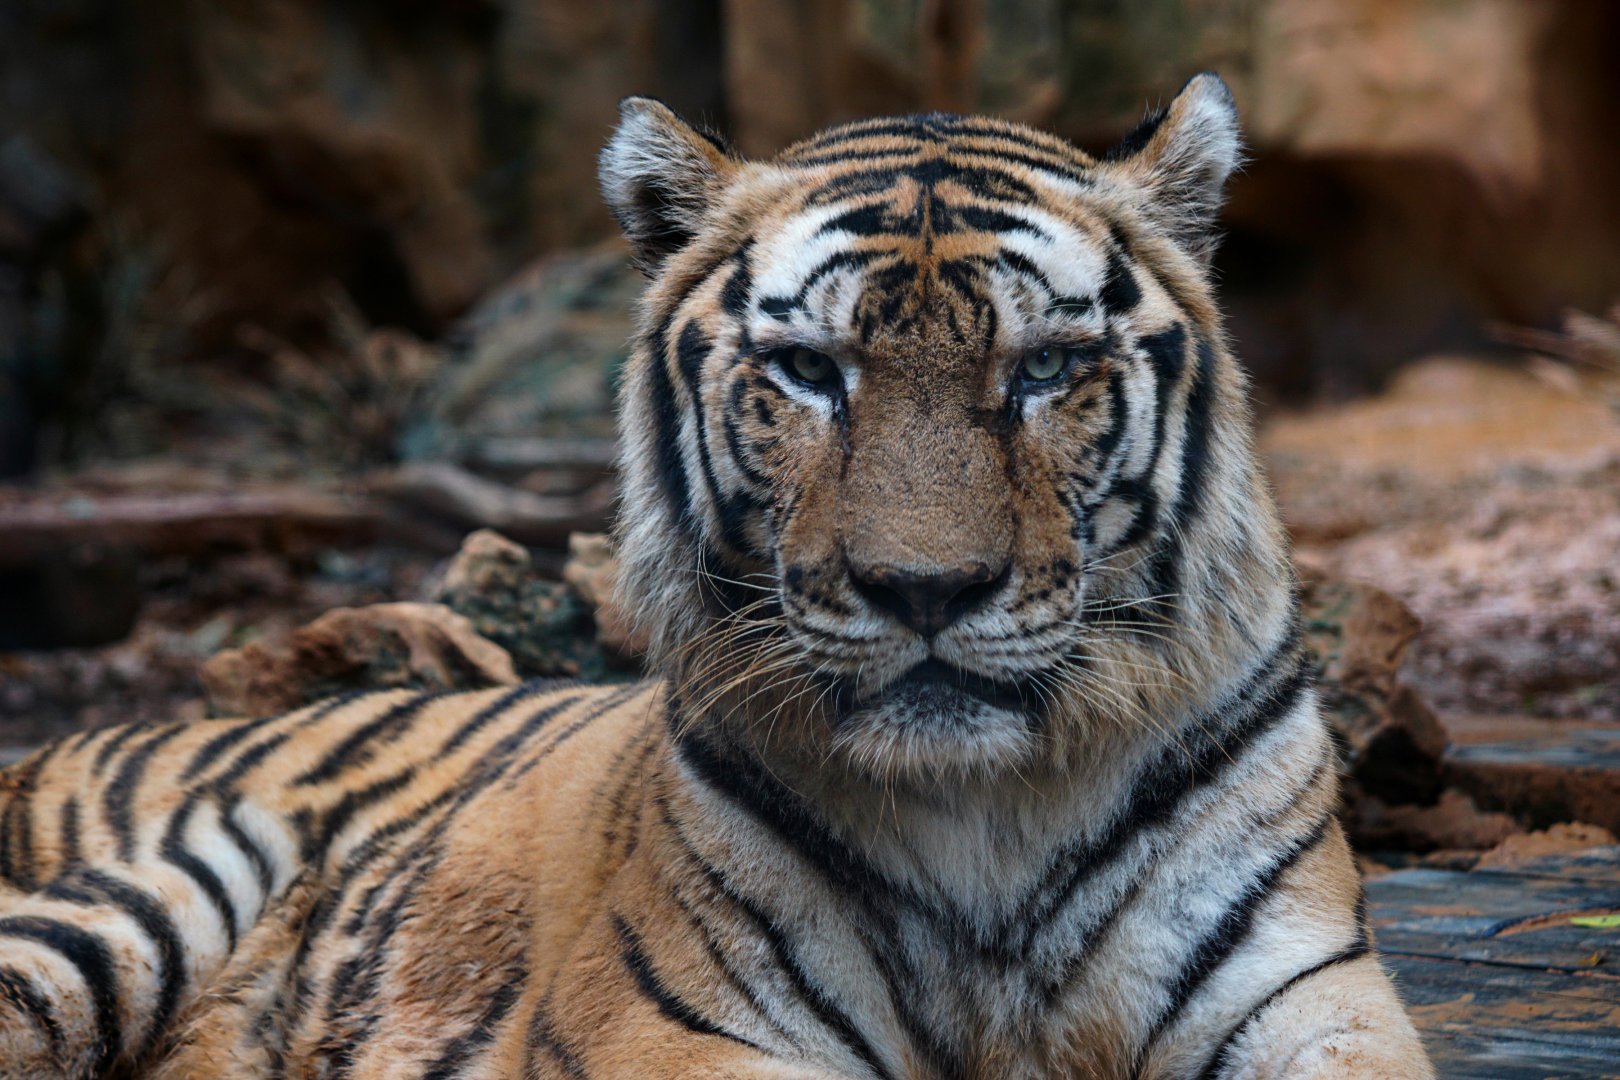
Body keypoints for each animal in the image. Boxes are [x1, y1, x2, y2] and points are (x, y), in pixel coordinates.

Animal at [0, 73, 1433, 1079]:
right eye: (808, 372)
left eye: (1042, 370)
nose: (926, 592)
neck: (990, 817)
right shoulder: (672, 1021)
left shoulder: (1307, 993)